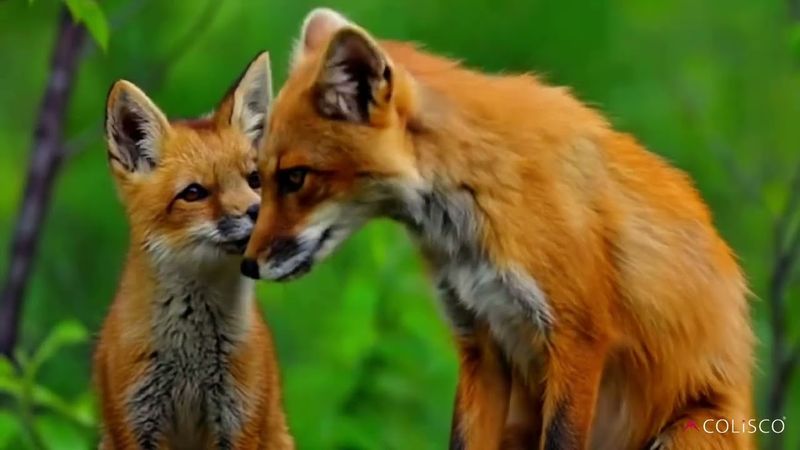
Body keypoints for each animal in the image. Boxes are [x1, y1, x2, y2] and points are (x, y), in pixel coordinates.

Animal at [93, 53, 294, 450]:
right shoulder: (135, 422)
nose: (256, 211)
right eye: (194, 193)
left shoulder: (238, 420)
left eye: (255, 180)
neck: (190, 361)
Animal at [240, 8, 755, 450]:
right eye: (258, 176)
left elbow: (563, 438)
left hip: (687, 431)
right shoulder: (479, 342)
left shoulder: (578, 338)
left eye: (295, 177)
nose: (247, 265)